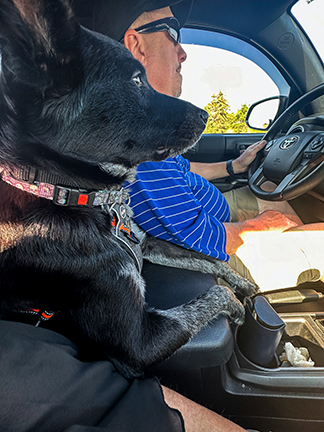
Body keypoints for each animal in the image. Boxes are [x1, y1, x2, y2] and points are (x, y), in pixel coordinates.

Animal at [0, 0, 256, 378]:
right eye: (136, 80)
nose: (206, 115)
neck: (70, 196)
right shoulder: (138, 343)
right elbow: (212, 297)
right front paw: (237, 305)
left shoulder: (147, 244)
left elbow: (209, 260)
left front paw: (245, 285)